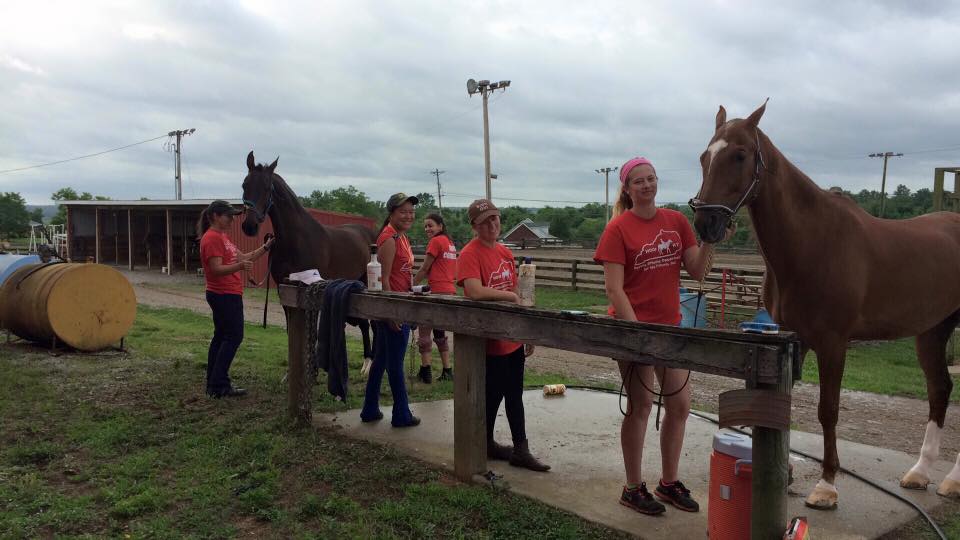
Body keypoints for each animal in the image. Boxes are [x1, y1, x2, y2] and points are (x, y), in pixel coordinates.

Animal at [239, 152, 376, 360]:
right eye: (244, 185)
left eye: (267, 188)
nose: (250, 226)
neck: (296, 240)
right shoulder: (285, 288)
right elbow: (291, 329)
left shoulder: (311, 288)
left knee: (368, 324)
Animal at [688, 102, 960, 510]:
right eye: (705, 157)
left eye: (739, 155)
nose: (706, 223)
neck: (812, 240)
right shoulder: (794, 339)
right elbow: (783, 408)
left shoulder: (833, 343)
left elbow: (827, 411)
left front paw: (826, 486)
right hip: (931, 331)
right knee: (940, 388)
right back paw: (920, 472)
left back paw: (953, 480)